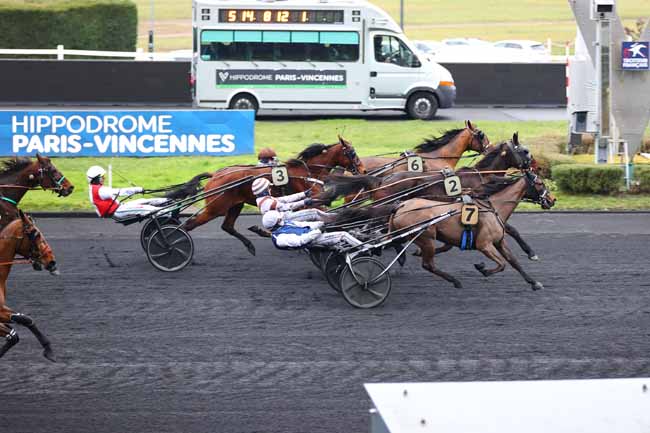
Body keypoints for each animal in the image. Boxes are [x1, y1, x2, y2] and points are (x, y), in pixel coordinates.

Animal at [181, 137, 364, 255]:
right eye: (353, 153)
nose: (363, 170)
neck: (308, 172)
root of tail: (216, 174)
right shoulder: (314, 202)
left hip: (235, 204)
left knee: (227, 226)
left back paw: (251, 244)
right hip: (215, 208)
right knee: (189, 225)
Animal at [388, 170, 556, 290]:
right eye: (540, 183)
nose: (552, 200)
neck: (493, 208)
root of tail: (401, 205)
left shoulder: (499, 242)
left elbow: (513, 261)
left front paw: (534, 282)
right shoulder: (484, 245)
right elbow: (502, 264)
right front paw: (482, 268)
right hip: (426, 238)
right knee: (428, 265)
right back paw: (455, 281)